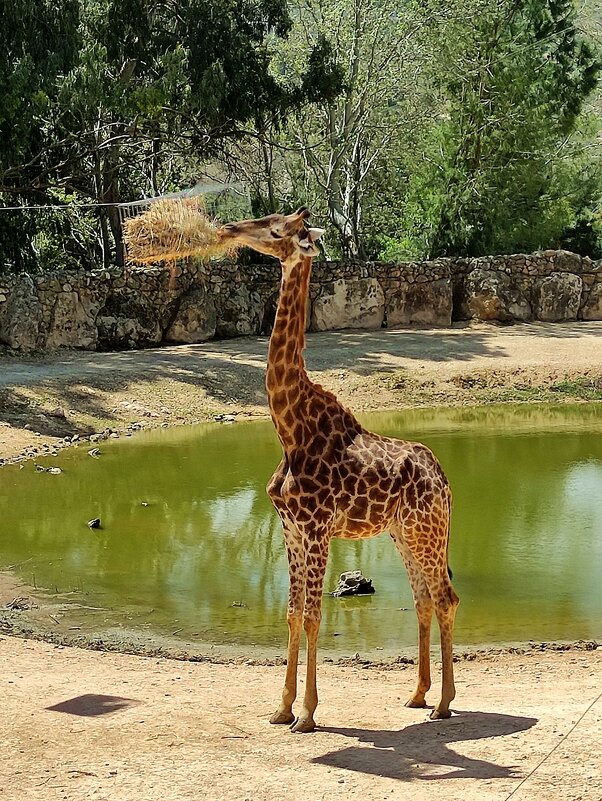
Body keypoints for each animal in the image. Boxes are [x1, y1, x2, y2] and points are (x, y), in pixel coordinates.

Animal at [218, 205, 458, 732]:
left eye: (276, 229)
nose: (228, 229)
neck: (290, 429)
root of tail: (446, 480)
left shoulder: (316, 528)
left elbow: (312, 616)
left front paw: (307, 713)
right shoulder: (289, 528)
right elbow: (291, 614)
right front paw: (281, 708)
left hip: (426, 531)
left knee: (445, 597)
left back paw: (445, 703)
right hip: (404, 533)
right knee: (424, 599)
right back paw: (418, 695)